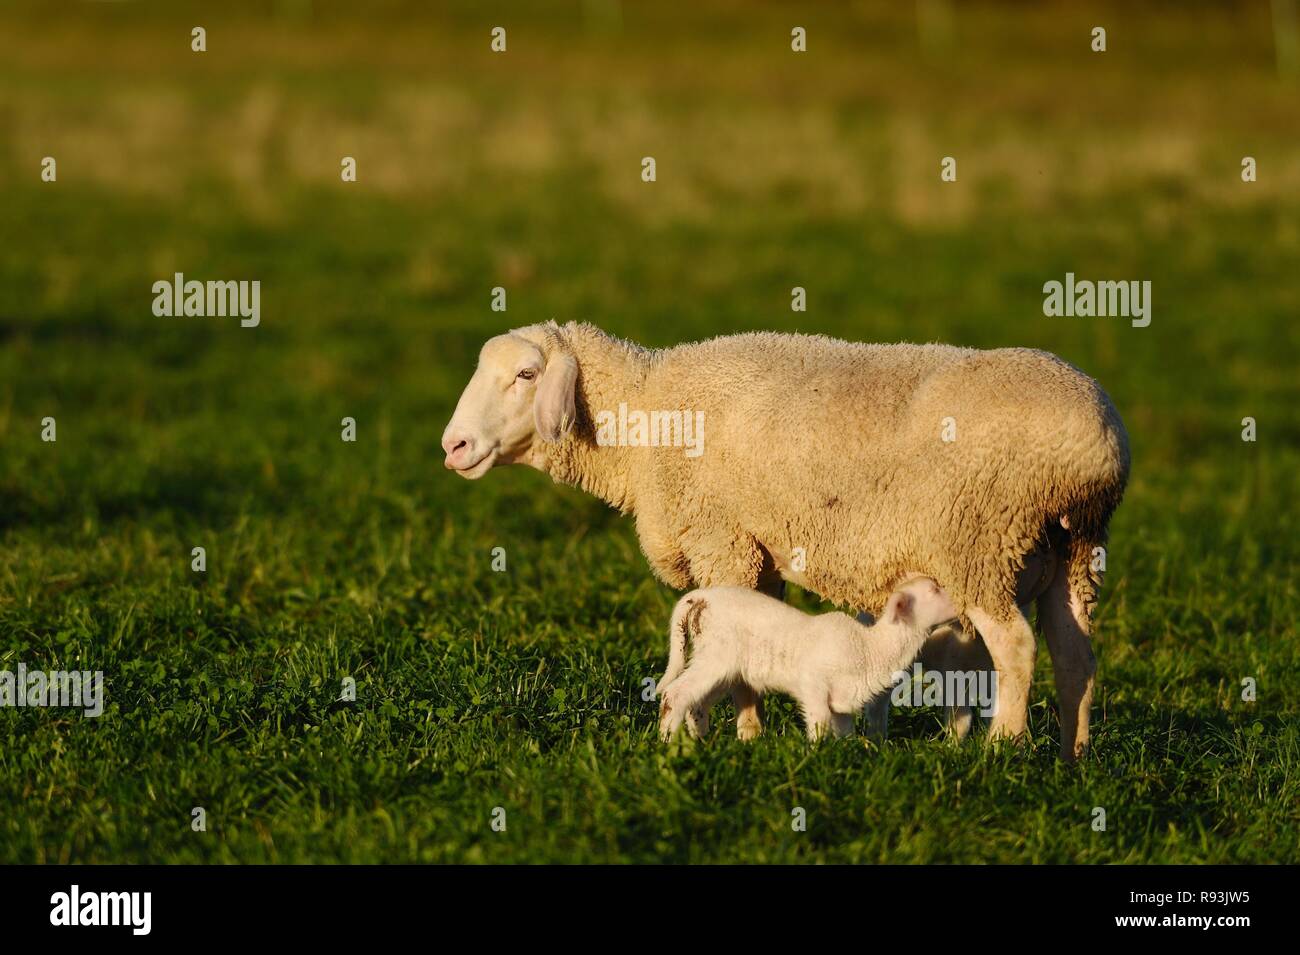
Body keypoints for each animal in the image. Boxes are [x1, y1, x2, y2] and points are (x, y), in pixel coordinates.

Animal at [657, 577, 959, 741]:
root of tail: (699, 598)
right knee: (675, 694)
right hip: (716, 655)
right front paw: (816, 754)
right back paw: (669, 743)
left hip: (723, 667)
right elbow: (819, 723)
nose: (961, 601)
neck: (870, 647)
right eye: (933, 590)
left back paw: (700, 741)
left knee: (697, 702)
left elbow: (844, 732)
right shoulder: (814, 684)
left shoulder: (843, 703)